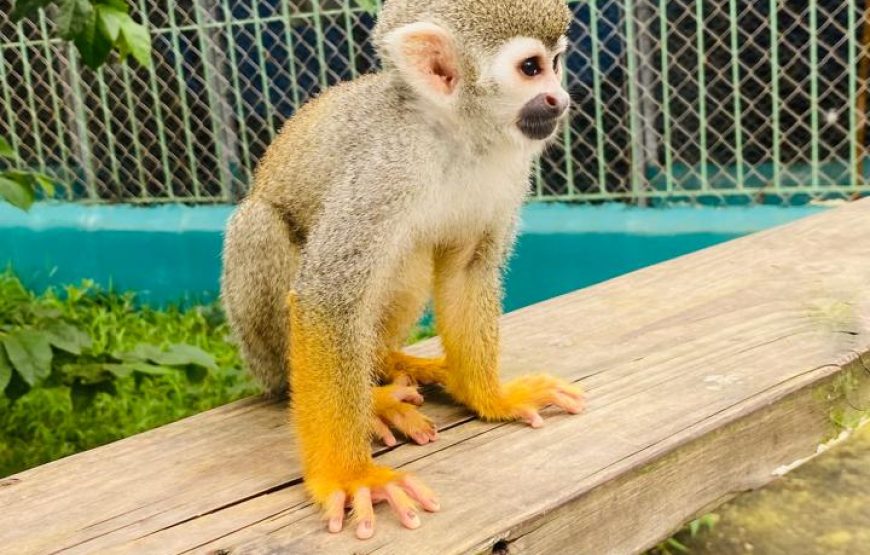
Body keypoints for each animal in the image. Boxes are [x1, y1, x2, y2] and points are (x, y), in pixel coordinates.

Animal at [220, 0, 584, 539]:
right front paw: (349, 477)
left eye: (556, 62)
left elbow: (467, 270)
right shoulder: (383, 168)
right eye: (530, 68)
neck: (456, 136)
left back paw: (389, 361)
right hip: (260, 352)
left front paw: (491, 397)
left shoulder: (508, 167)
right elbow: (328, 298)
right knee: (260, 227)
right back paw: (371, 399)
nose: (560, 98)